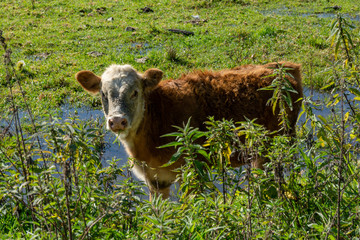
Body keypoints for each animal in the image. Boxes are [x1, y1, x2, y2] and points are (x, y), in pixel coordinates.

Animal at [76, 61, 304, 199]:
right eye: (104, 94)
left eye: (134, 92)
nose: (117, 121)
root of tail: (282, 67)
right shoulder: (156, 180)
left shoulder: (193, 171)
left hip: (276, 147)